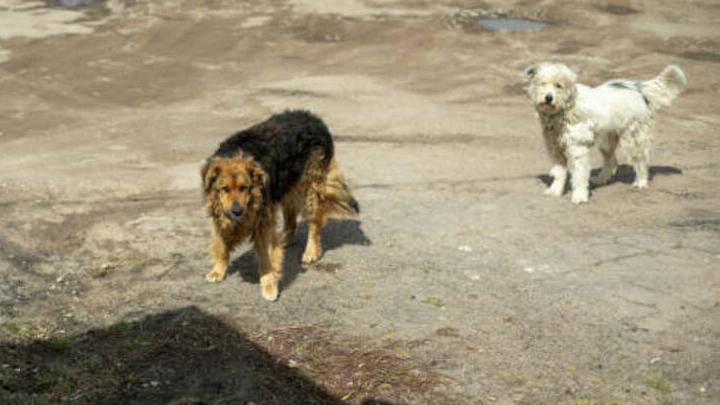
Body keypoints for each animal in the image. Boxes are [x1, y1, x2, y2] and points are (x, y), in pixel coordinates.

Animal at [201, 110, 359, 301]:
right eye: (224, 189)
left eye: (244, 187)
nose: (237, 211)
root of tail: (314, 118)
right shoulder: (220, 213)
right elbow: (221, 243)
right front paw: (218, 269)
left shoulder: (263, 222)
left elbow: (266, 258)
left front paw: (269, 285)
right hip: (286, 187)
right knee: (291, 217)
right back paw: (286, 239)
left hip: (311, 188)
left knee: (314, 225)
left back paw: (311, 252)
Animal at [524, 63, 687, 203]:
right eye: (542, 83)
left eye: (559, 85)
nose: (548, 98)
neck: (565, 108)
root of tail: (637, 88)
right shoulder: (555, 148)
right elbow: (559, 172)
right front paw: (555, 190)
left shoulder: (578, 149)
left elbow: (579, 175)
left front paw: (580, 196)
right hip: (606, 140)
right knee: (612, 161)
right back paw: (601, 179)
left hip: (633, 138)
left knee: (640, 160)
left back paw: (641, 182)